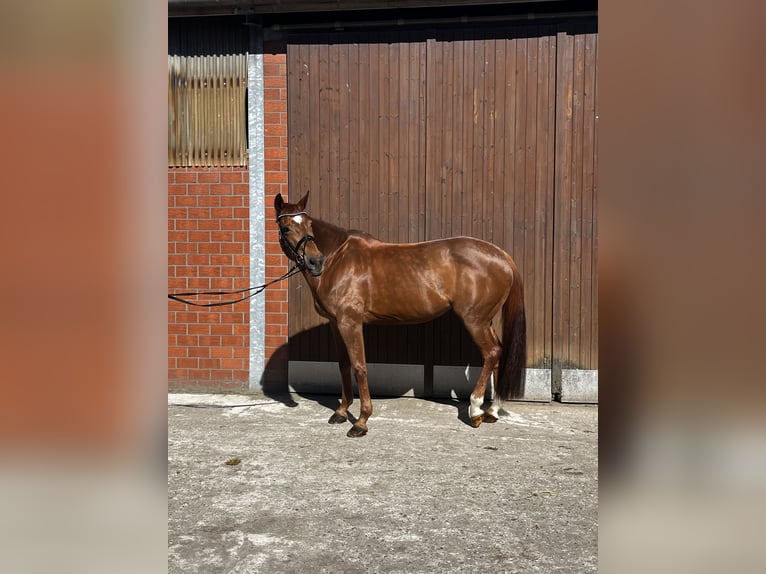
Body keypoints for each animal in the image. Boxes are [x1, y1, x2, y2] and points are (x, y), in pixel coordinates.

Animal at [274, 191, 527, 437]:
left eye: (309, 224)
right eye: (286, 228)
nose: (315, 262)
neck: (338, 259)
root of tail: (502, 256)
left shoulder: (350, 323)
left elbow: (359, 367)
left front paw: (361, 421)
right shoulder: (336, 324)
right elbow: (344, 364)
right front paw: (341, 411)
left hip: (474, 320)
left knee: (491, 353)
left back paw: (475, 410)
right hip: (485, 321)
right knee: (498, 352)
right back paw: (492, 410)